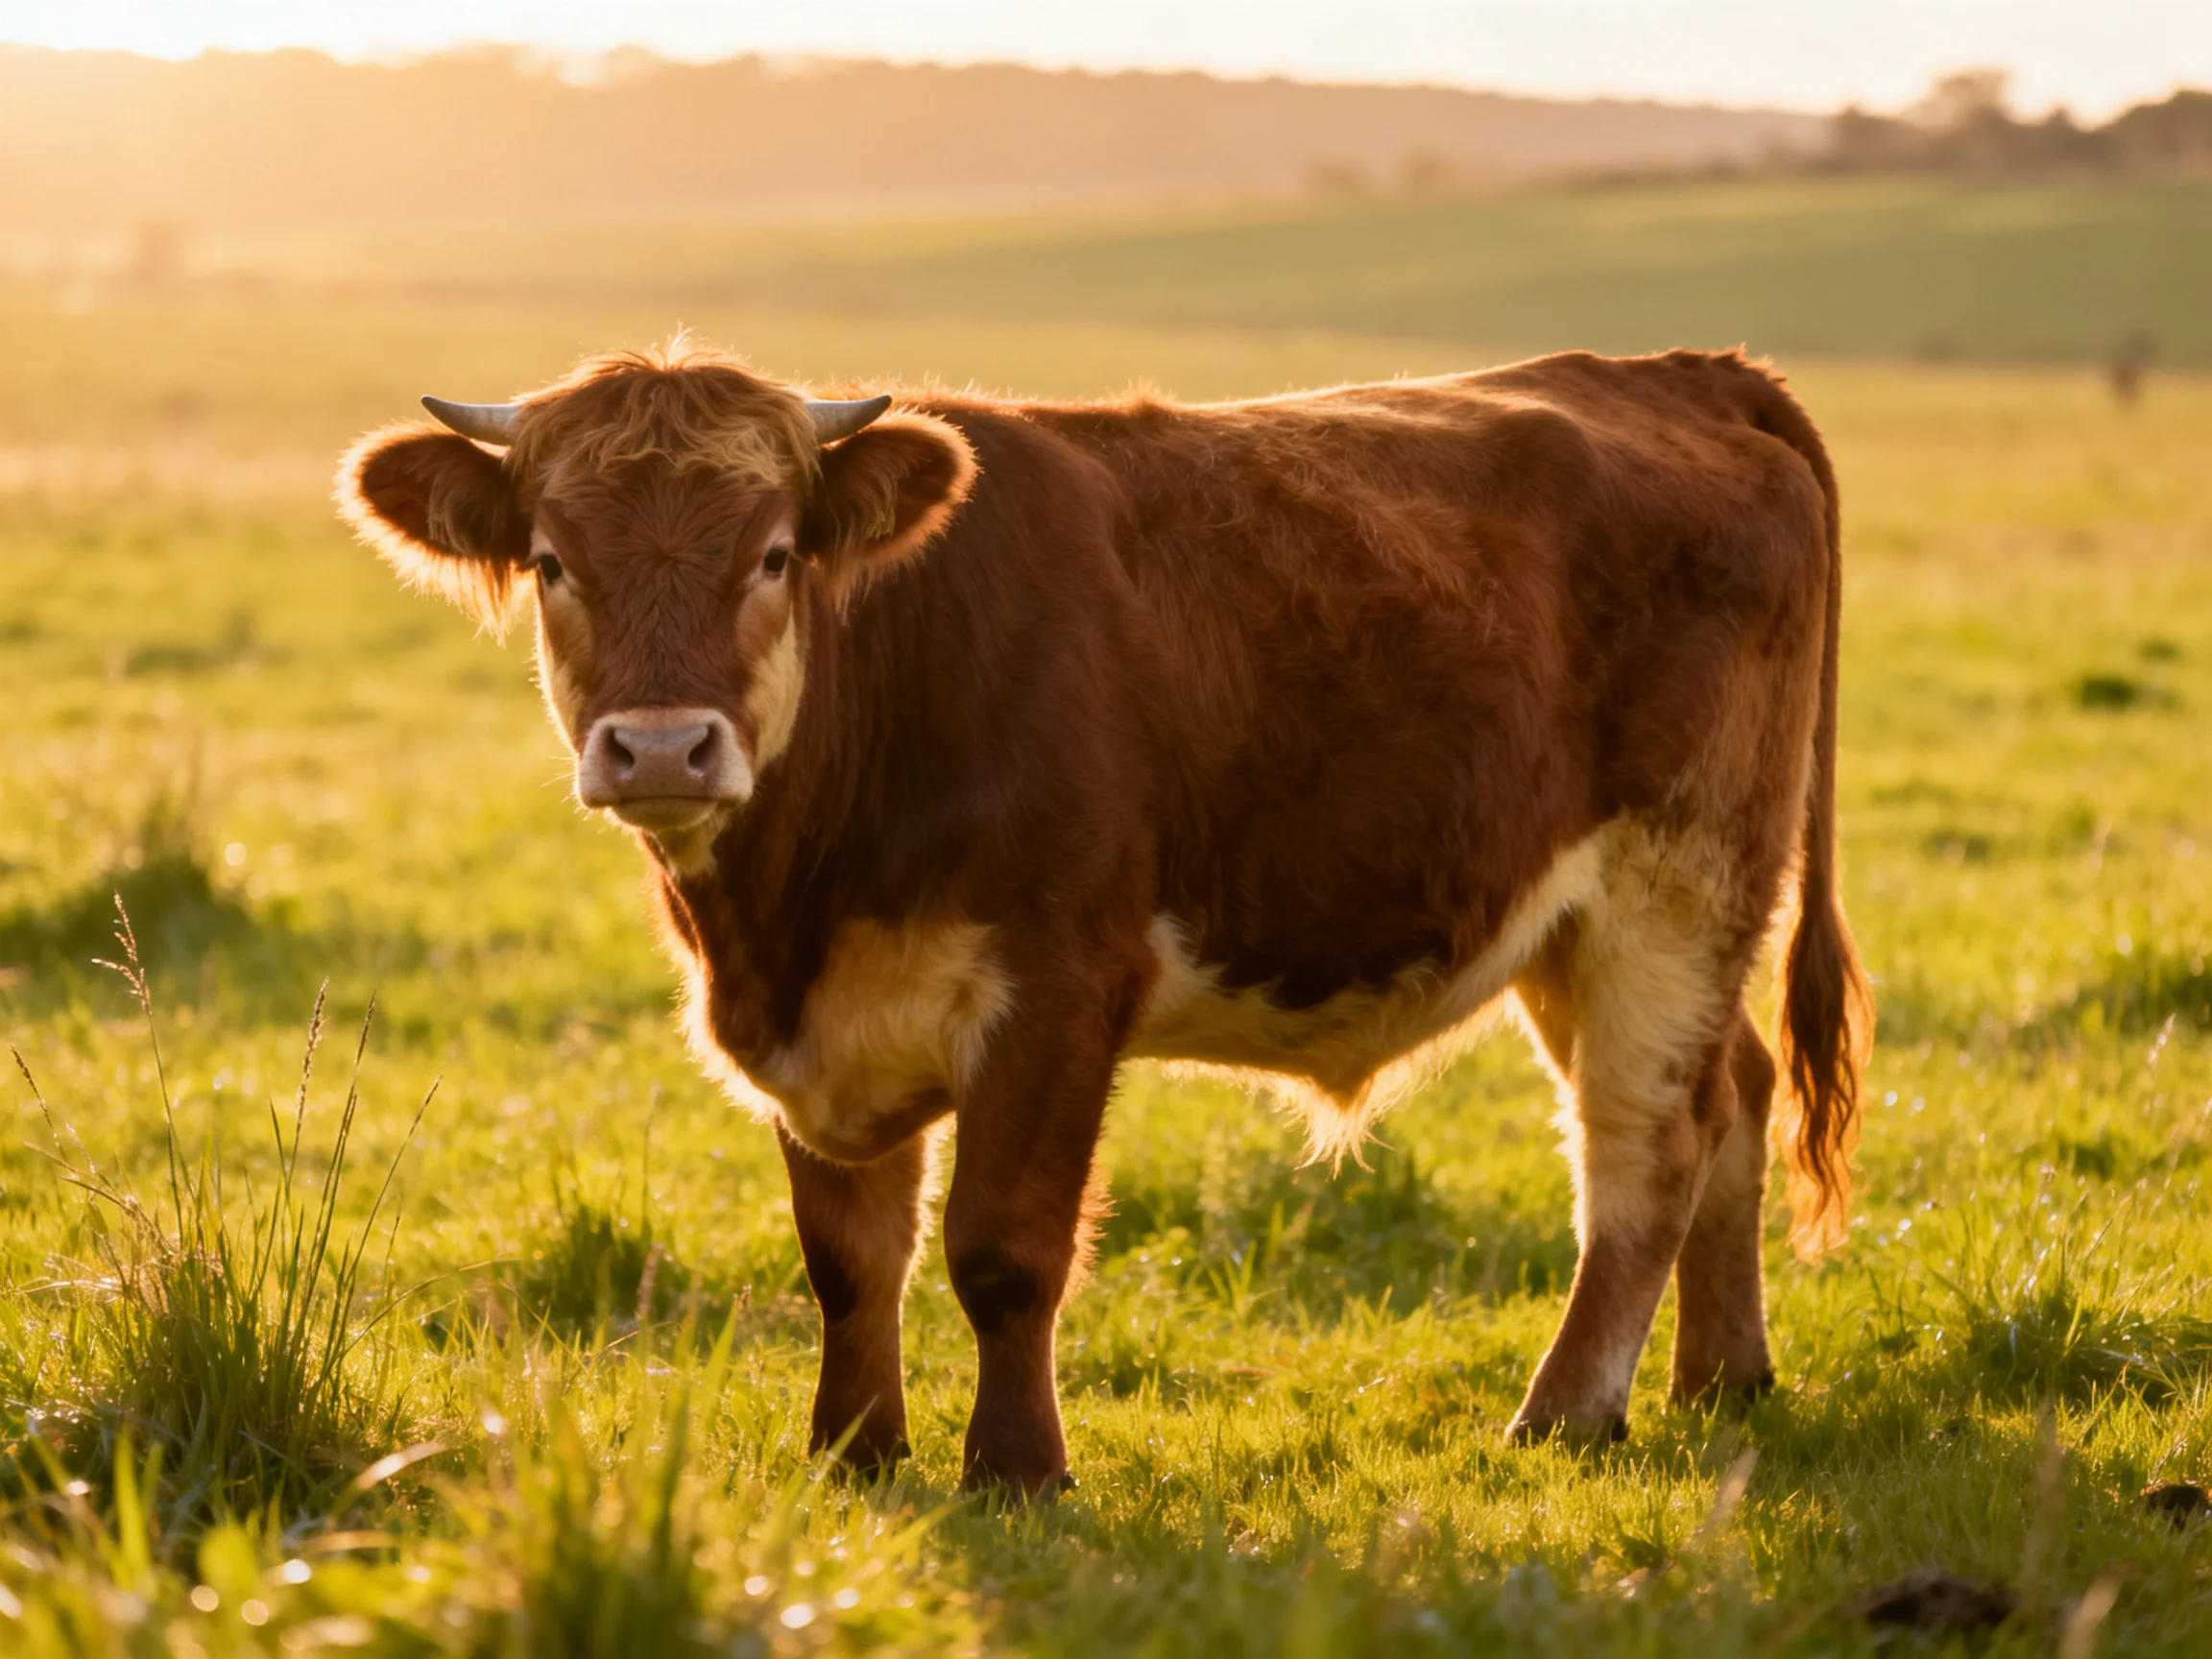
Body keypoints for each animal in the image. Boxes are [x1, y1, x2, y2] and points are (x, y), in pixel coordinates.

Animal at [336, 340, 1871, 1499]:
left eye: (773, 555)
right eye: (551, 560)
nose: (662, 748)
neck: (791, 912)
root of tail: (1676, 372)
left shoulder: (1062, 987)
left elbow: (1003, 1251)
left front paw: (1016, 1470)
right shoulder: (819, 1033)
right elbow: (850, 1261)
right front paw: (854, 1455)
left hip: (1675, 877)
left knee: (1649, 1141)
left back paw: (1567, 1411)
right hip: (1585, 917)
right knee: (1734, 1093)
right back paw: (1723, 1381)